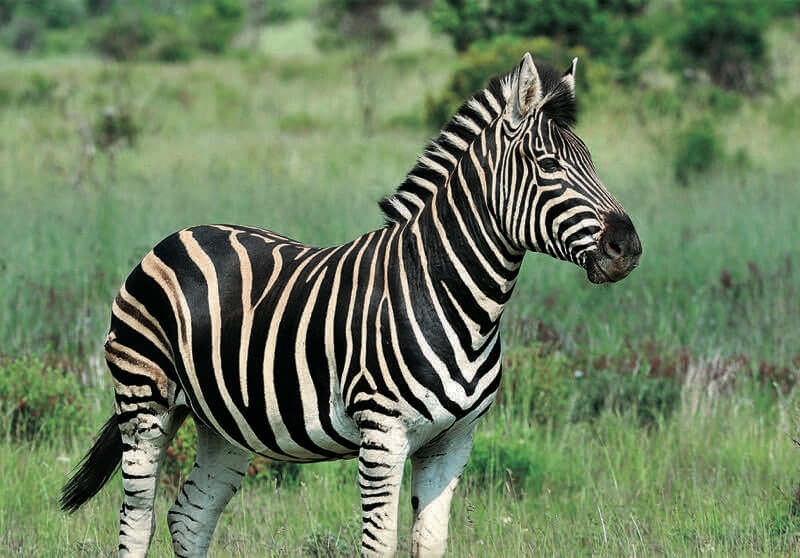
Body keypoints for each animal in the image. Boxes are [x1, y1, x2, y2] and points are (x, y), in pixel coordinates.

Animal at [60, 52, 641, 557]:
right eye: (546, 164)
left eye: (591, 161)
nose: (628, 247)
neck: (454, 297)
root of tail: (176, 235)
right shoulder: (383, 433)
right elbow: (379, 543)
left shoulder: (454, 439)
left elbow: (430, 541)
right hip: (144, 400)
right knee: (137, 517)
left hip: (222, 421)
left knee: (190, 516)